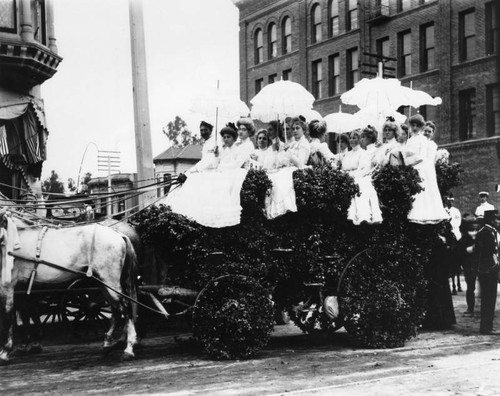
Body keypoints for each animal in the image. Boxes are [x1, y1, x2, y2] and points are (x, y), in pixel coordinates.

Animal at [0, 210, 139, 366]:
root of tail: (118, 234)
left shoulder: (8, 285)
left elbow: (7, 315)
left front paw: (5, 352)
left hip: (110, 280)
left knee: (126, 307)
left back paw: (129, 349)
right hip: (104, 283)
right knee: (116, 307)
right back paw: (108, 343)